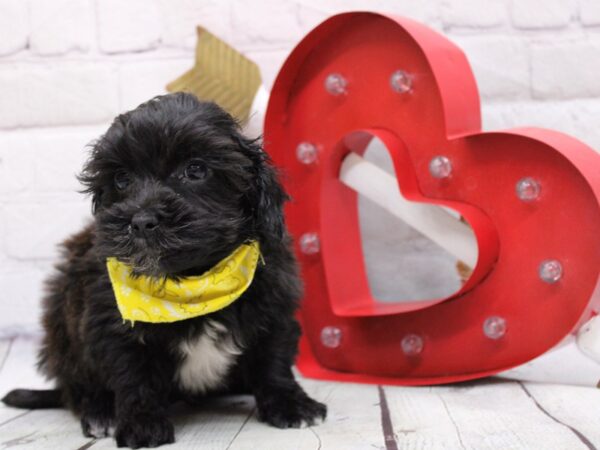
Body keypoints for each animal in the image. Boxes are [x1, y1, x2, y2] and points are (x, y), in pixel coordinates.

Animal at [2, 93, 326, 448]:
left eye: (195, 169)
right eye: (121, 179)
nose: (142, 221)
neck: (191, 283)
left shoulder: (273, 302)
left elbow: (274, 358)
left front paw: (291, 404)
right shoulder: (110, 323)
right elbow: (132, 373)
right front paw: (141, 424)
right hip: (63, 320)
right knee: (76, 385)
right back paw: (100, 412)